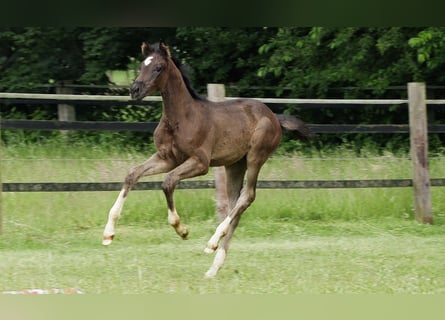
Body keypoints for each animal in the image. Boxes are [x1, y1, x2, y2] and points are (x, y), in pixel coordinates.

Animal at [102, 41, 310, 278]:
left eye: (158, 68)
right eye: (141, 65)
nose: (134, 90)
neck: (181, 118)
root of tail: (274, 116)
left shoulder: (200, 163)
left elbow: (168, 182)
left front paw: (182, 230)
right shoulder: (167, 158)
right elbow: (132, 174)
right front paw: (108, 234)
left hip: (256, 156)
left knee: (247, 196)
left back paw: (212, 244)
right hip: (234, 164)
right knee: (235, 204)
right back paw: (214, 266)